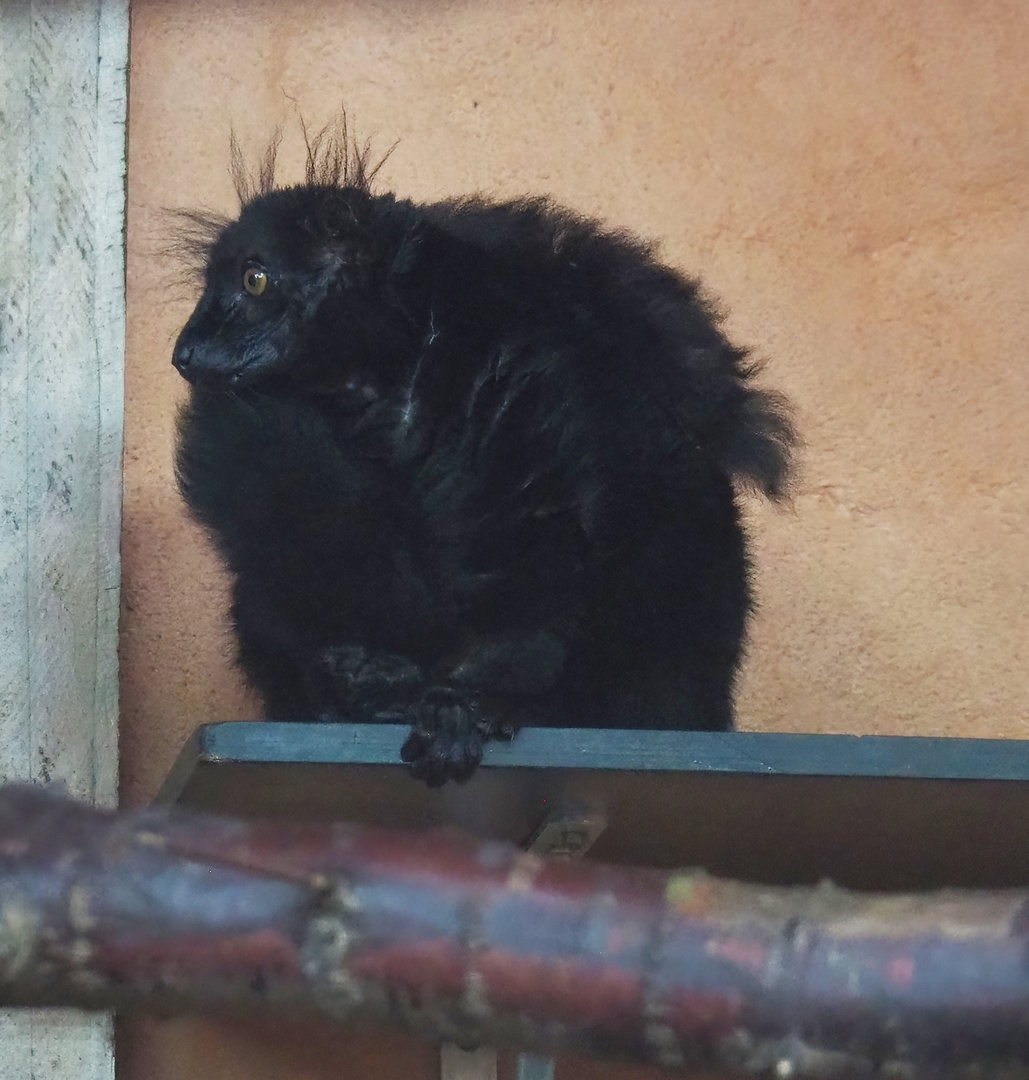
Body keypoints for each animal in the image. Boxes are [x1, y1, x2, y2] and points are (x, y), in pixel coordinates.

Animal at [170, 116, 795, 787]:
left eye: (255, 279)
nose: (184, 352)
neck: (392, 369)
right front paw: (376, 683)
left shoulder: (515, 376)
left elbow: (531, 555)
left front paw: (466, 702)